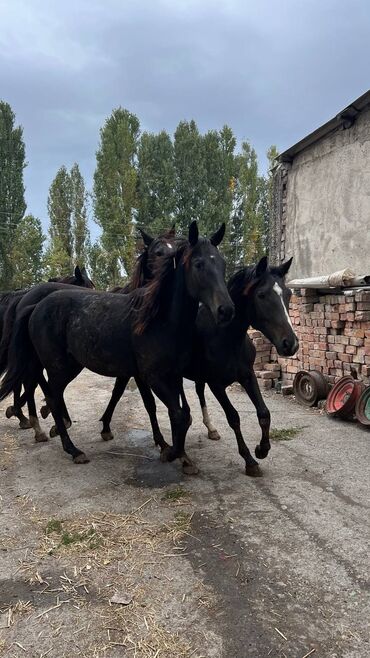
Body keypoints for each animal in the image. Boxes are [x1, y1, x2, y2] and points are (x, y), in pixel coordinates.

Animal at [96, 254, 298, 474]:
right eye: (261, 295)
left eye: (288, 294)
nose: (291, 344)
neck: (226, 337)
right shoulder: (216, 384)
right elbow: (233, 417)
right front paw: (249, 460)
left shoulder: (247, 375)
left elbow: (264, 412)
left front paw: (262, 449)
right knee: (137, 398)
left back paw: (205, 432)